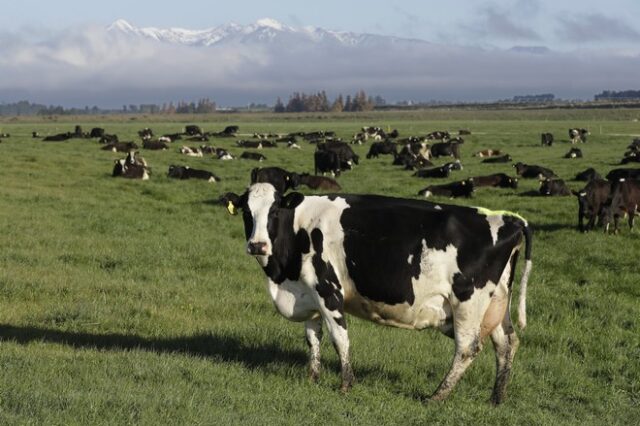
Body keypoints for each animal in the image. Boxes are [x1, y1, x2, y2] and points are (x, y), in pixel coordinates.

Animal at [222, 183, 532, 402]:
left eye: (274, 211)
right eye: (247, 212)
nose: (258, 245)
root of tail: (510, 219)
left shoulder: (328, 289)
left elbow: (340, 338)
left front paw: (346, 384)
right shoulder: (308, 293)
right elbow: (313, 338)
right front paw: (312, 377)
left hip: (468, 301)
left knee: (467, 348)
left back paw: (436, 396)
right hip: (496, 303)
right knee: (507, 344)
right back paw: (496, 398)